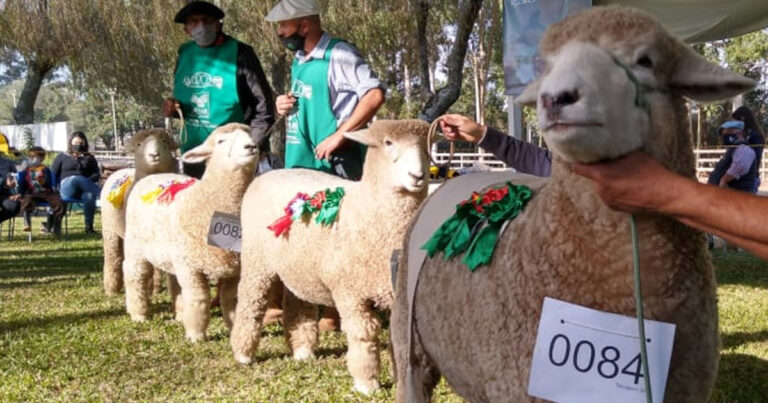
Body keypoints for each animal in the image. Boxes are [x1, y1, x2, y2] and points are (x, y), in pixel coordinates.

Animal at [98, 129, 176, 296]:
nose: (154, 155)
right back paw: (111, 288)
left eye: (164, 142)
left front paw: (155, 288)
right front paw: (148, 288)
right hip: (110, 229)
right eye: (139, 144)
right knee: (113, 256)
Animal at [123, 123, 260, 340]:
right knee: (135, 274)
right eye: (221, 141)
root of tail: (153, 176)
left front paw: (233, 329)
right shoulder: (191, 268)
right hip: (135, 245)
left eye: (250, 135)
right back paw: (138, 314)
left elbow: (231, 302)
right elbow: (198, 298)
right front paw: (196, 334)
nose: (251, 146)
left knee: (174, 283)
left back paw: (179, 315)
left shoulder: (233, 270)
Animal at [228, 119, 432, 394]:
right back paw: (243, 354)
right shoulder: (349, 292)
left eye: (426, 145)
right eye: (388, 143)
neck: (369, 212)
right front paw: (367, 382)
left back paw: (303, 350)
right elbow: (363, 334)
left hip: (299, 264)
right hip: (256, 259)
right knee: (251, 301)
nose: (418, 176)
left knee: (298, 305)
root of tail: (267, 174)